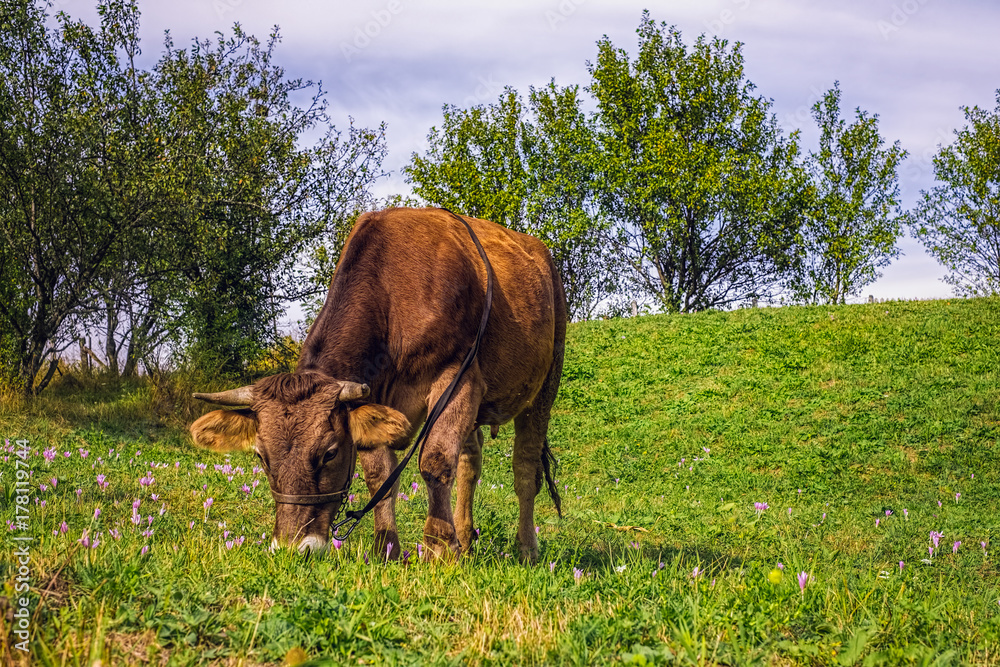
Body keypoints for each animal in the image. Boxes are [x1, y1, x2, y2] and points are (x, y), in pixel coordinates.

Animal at [188, 209, 564, 564]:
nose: (294, 548)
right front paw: (388, 549)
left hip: (545, 384)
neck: (394, 295)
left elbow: (435, 462)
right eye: (262, 457)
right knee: (470, 460)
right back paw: (466, 540)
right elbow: (380, 476)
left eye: (329, 453)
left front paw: (439, 549)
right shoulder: (373, 395)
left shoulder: (457, 377)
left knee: (525, 467)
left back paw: (526, 549)